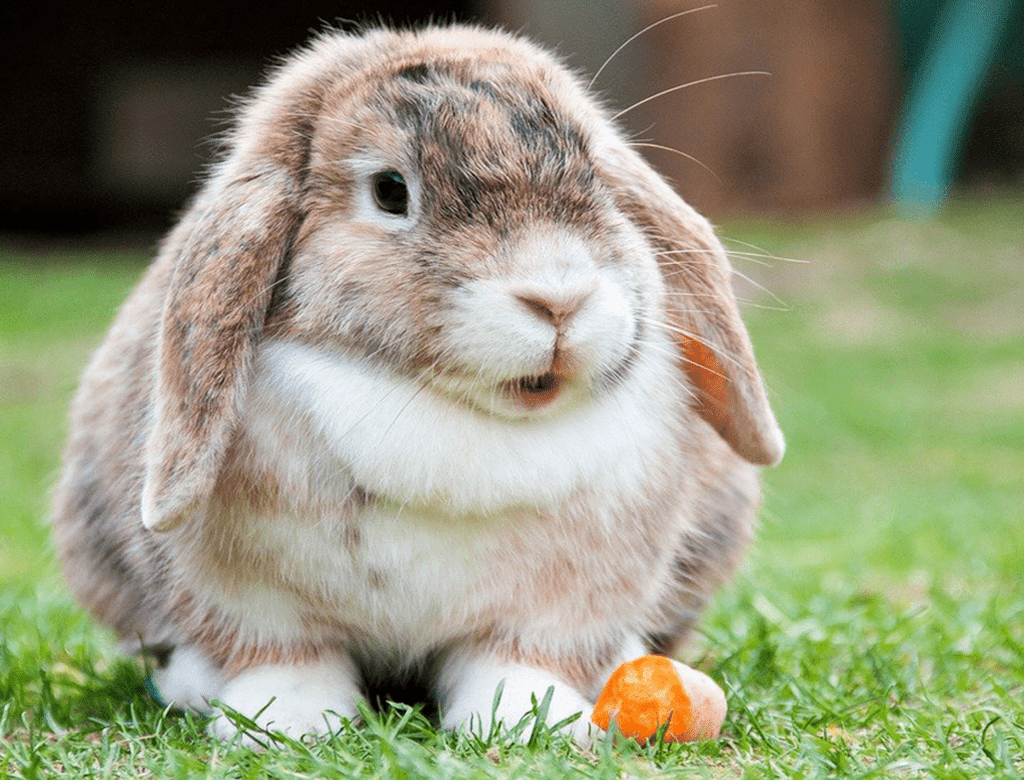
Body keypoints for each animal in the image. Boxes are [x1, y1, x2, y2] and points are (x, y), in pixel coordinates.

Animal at [51, 23, 784, 745]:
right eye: (390, 191)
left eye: (598, 178)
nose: (558, 298)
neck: (449, 412)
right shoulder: (252, 602)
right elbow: (286, 657)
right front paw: (286, 723)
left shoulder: (559, 607)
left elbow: (516, 659)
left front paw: (525, 721)